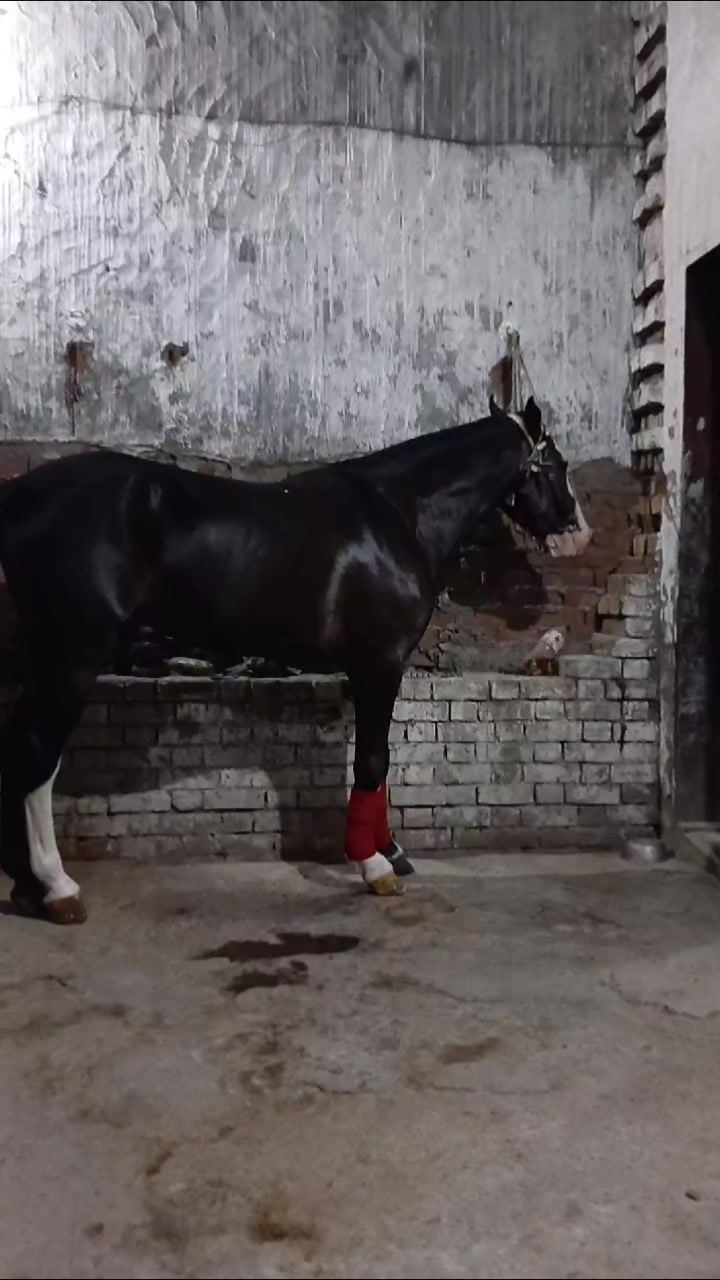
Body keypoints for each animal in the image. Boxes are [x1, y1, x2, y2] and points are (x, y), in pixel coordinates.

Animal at [0, 396, 590, 923]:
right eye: (557, 465)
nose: (578, 535)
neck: (397, 516)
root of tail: (19, 496)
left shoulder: (372, 668)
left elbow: (379, 760)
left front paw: (391, 850)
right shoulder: (380, 662)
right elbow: (371, 762)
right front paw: (374, 866)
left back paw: (27, 887)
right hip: (70, 659)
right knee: (38, 759)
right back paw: (57, 887)